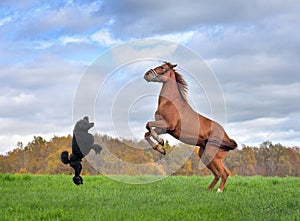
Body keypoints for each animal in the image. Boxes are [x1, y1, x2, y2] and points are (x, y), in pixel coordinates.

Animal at [144, 61, 238, 192]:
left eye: (162, 67)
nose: (147, 74)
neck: (170, 103)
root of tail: (227, 137)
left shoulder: (168, 125)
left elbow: (148, 125)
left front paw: (160, 142)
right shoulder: (164, 129)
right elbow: (147, 133)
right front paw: (161, 149)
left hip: (212, 156)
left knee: (224, 173)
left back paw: (218, 191)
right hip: (204, 155)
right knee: (217, 174)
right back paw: (208, 190)